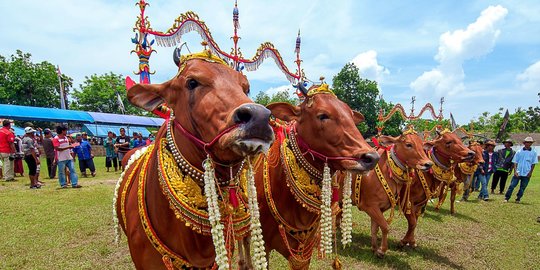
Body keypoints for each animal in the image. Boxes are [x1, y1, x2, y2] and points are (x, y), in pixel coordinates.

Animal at [350, 130, 434, 258]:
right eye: (408, 144)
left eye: (422, 146)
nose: (428, 164)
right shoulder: (368, 205)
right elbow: (385, 227)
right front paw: (382, 250)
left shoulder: (379, 208)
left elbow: (375, 228)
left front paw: (375, 249)